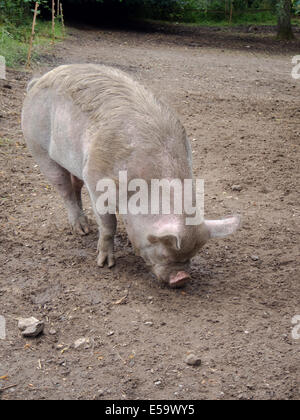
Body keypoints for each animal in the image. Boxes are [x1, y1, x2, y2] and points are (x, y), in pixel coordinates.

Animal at [21, 64, 239, 288]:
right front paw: (104, 264)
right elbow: (109, 225)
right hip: (37, 146)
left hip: (75, 162)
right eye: (164, 250)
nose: (182, 278)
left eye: (192, 255)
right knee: (63, 188)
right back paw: (81, 230)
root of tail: (37, 81)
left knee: (75, 186)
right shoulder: (96, 180)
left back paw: (86, 227)